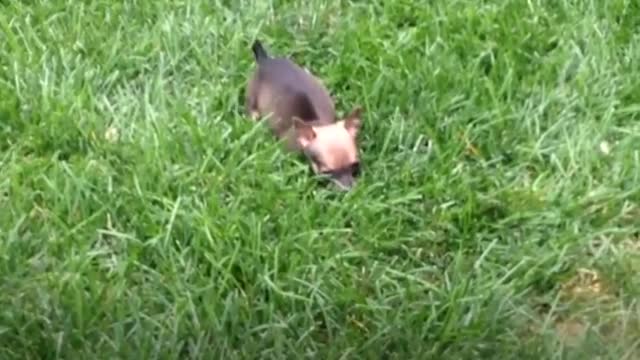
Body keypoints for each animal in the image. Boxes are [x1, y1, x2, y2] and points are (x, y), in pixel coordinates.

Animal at [246, 38, 364, 191]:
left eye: (356, 166)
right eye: (327, 172)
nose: (348, 190)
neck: (318, 123)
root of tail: (265, 60)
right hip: (252, 97)